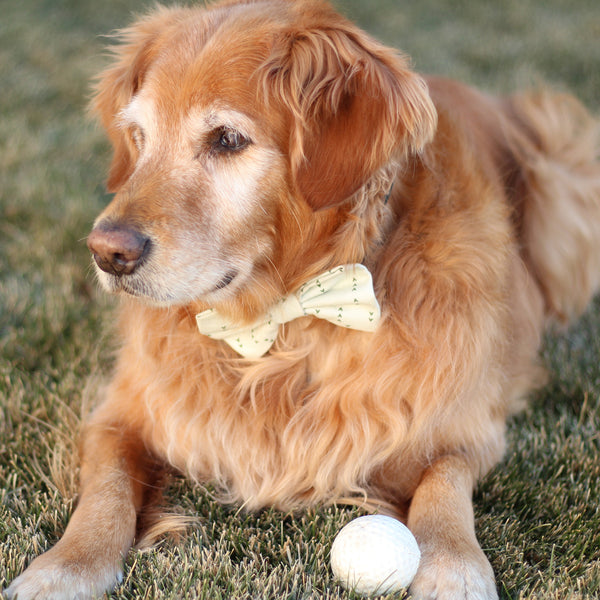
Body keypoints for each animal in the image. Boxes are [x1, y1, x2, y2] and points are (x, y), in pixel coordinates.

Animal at [5, 1, 600, 600]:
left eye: (227, 139)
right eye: (139, 135)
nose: (107, 253)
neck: (285, 323)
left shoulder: (467, 424)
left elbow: (444, 482)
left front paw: (454, 564)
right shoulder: (123, 410)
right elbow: (105, 489)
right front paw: (64, 566)